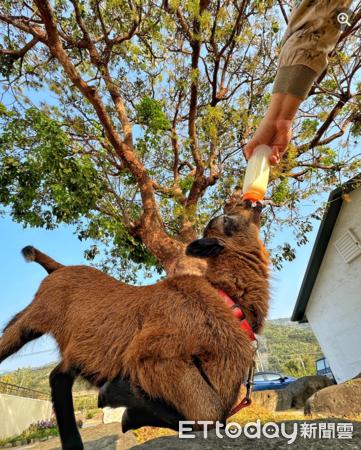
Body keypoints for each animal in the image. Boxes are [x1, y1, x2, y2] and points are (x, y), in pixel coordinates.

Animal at [0, 202, 268, 448]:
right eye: (226, 218)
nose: (252, 203)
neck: (226, 298)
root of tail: (59, 268)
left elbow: (215, 419)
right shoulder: (154, 353)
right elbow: (208, 414)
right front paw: (118, 400)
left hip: (74, 344)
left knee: (58, 377)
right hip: (37, 316)